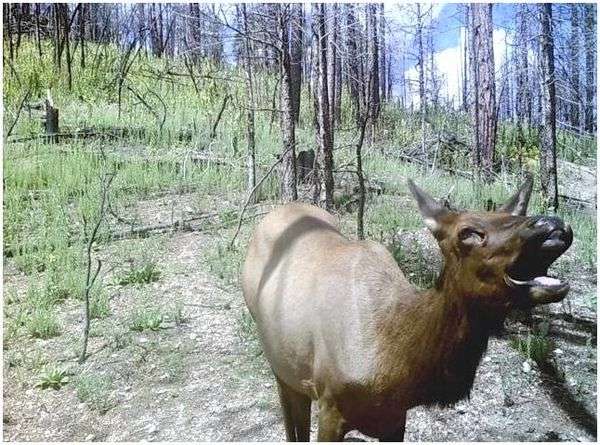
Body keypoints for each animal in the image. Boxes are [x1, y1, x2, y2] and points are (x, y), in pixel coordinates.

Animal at [241, 175, 576, 438]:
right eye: (467, 232)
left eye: (519, 214)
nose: (552, 225)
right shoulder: (330, 405)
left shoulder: (395, 417)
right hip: (283, 369)